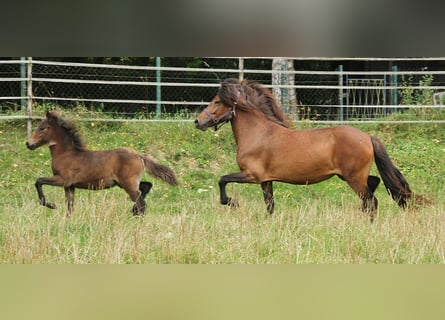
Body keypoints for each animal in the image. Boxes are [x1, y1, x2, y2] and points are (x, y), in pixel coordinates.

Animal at [26, 111, 178, 216]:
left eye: (42, 128)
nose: (29, 144)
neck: (66, 154)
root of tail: (139, 156)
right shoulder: (70, 186)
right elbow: (70, 206)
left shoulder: (63, 180)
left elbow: (38, 181)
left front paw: (51, 205)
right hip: (124, 183)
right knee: (146, 187)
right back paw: (133, 210)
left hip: (128, 184)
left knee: (142, 204)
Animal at [194, 79, 424, 221]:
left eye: (217, 101)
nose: (198, 122)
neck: (259, 133)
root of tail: (367, 137)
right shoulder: (266, 180)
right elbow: (270, 205)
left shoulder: (253, 175)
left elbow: (222, 180)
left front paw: (232, 203)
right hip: (349, 176)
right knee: (373, 186)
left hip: (354, 178)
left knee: (371, 200)